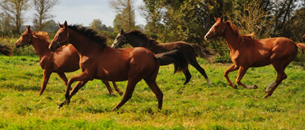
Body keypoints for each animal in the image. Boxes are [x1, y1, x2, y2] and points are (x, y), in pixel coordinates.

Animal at [48, 21, 185, 110]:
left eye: (60, 34)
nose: (51, 47)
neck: (90, 50)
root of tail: (154, 56)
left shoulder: (88, 74)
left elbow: (71, 80)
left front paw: (66, 98)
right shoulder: (86, 76)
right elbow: (75, 88)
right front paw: (62, 103)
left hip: (134, 78)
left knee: (128, 95)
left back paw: (114, 109)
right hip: (149, 79)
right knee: (159, 94)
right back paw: (158, 111)